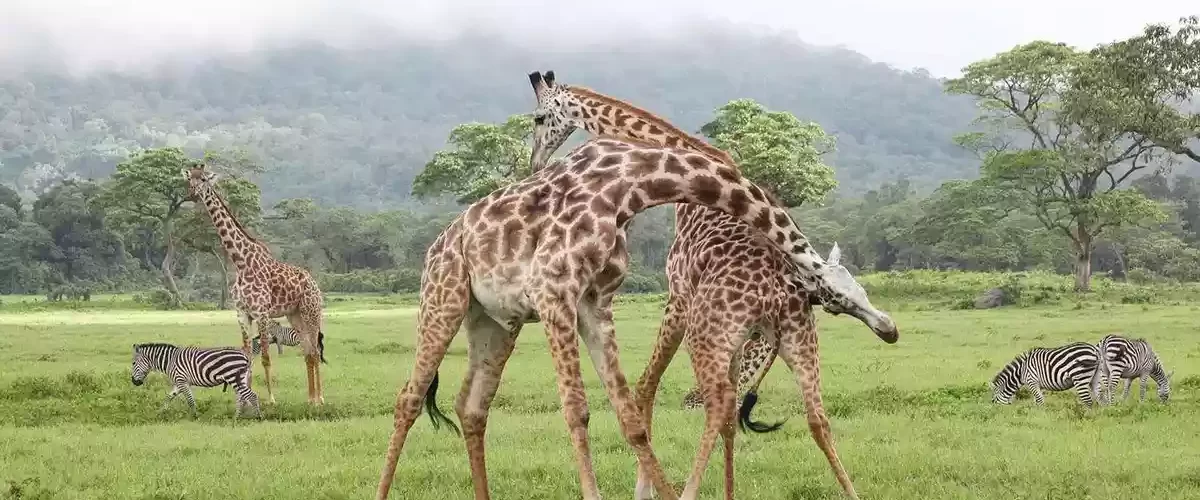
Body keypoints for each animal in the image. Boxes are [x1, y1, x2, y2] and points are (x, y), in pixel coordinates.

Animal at [182, 163, 325, 406]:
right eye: (188, 178)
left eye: (204, 179)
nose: (191, 194)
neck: (241, 262)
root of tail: (314, 283)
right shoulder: (242, 313)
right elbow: (247, 357)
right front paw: (245, 399)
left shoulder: (262, 313)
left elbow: (266, 357)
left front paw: (271, 399)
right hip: (294, 315)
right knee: (307, 352)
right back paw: (309, 398)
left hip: (311, 312)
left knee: (314, 351)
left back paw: (319, 399)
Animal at [374, 123, 897, 499]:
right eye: (833, 296)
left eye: (857, 290)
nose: (889, 329)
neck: (631, 186)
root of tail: (439, 243)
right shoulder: (554, 291)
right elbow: (577, 410)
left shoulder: (594, 304)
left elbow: (629, 414)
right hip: (443, 297)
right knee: (407, 399)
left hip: (495, 322)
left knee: (472, 406)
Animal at [526, 71, 897, 500]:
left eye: (538, 118)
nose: (535, 163)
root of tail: (776, 293)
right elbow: (730, 420)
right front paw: (727, 492)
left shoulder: (677, 298)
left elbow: (646, 388)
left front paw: (645, 490)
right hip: (794, 339)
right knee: (813, 417)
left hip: (706, 334)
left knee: (716, 404)